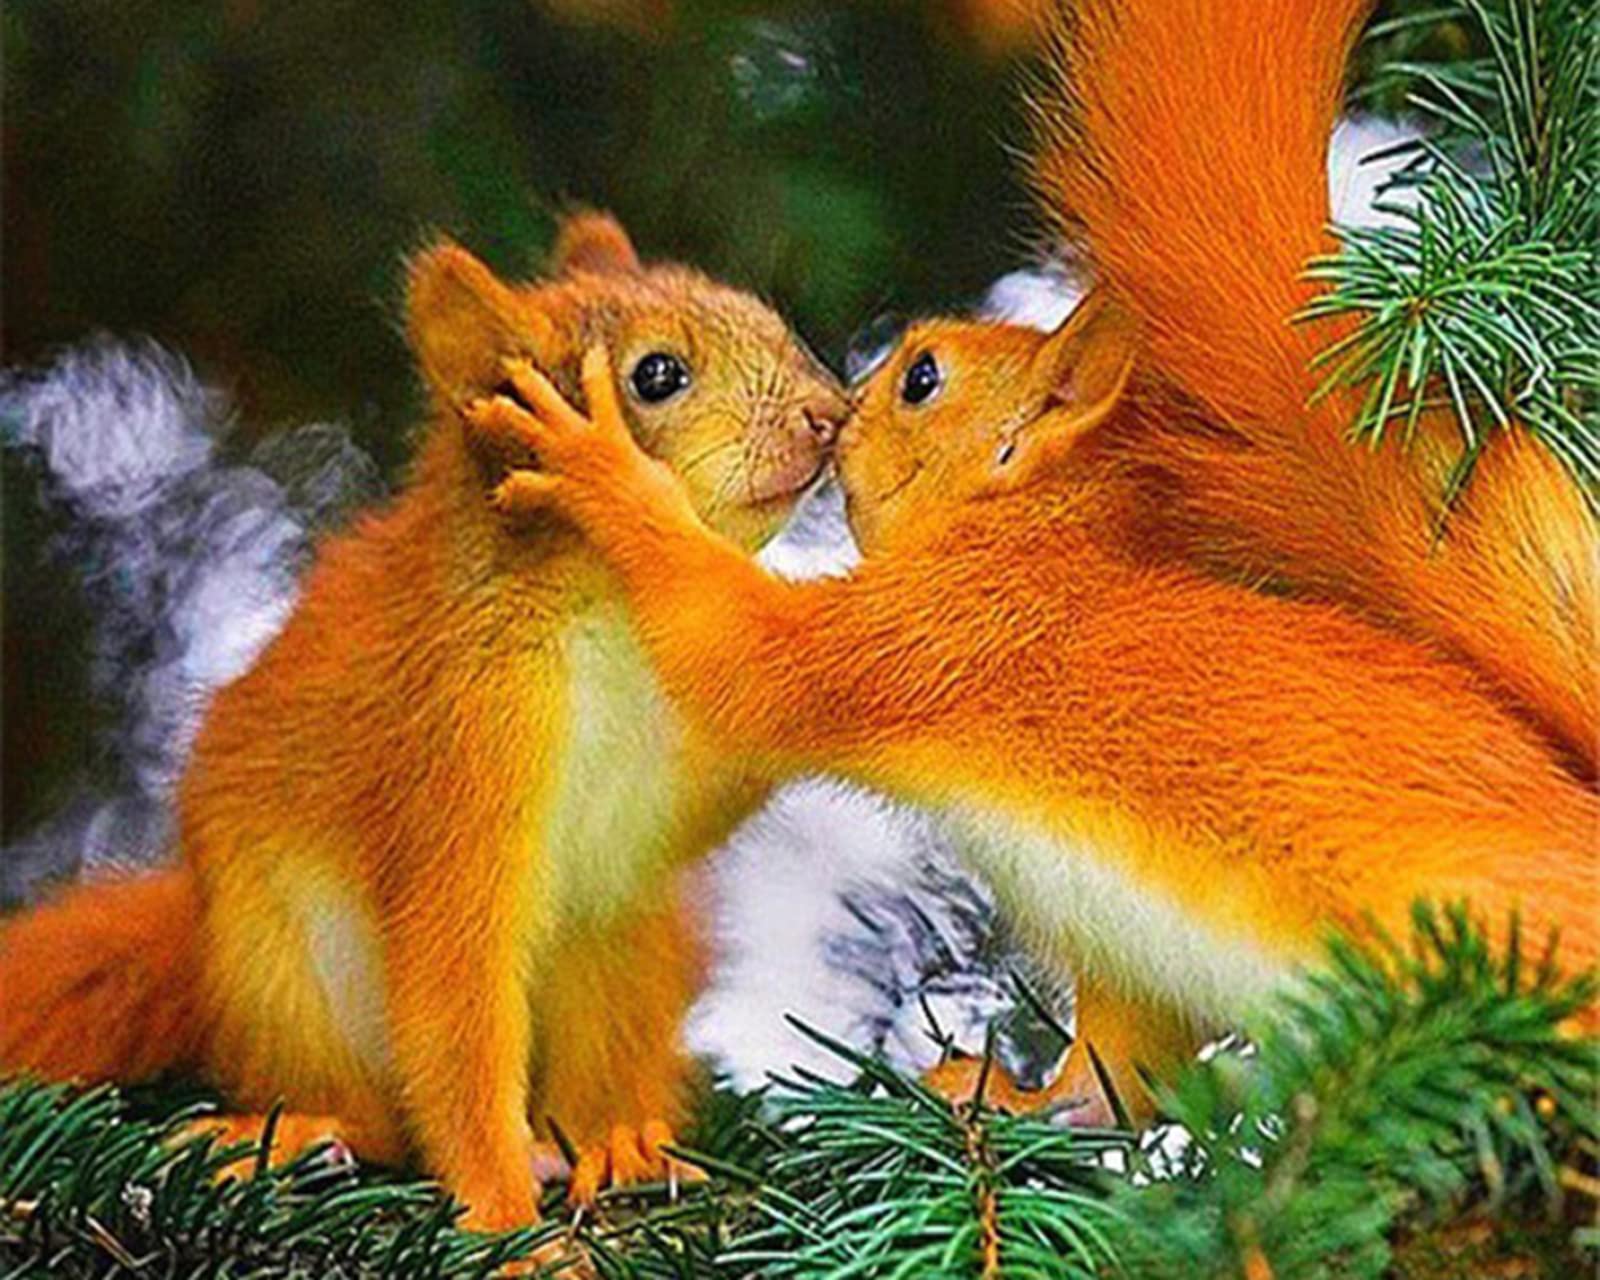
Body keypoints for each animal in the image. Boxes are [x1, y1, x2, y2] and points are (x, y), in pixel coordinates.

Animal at [0, 210, 847, 1239]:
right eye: (657, 375)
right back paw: (296, 1136)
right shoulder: (461, 743)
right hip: (285, 972)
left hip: (628, 936)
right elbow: (457, 1001)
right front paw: (509, 1226)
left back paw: (619, 1142)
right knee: (375, 1113)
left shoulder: (679, 750)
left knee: (604, 1055)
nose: (832, 413)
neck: (610, 614)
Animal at [469, 0, 1598, 1118]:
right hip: (1133, 947)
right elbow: (1114, 1069)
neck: (1025, 539)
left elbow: (740, 653)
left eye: (922, 378)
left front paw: (600, 465)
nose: (836, 409)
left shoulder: (928, 631)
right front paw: (1002, 1097)